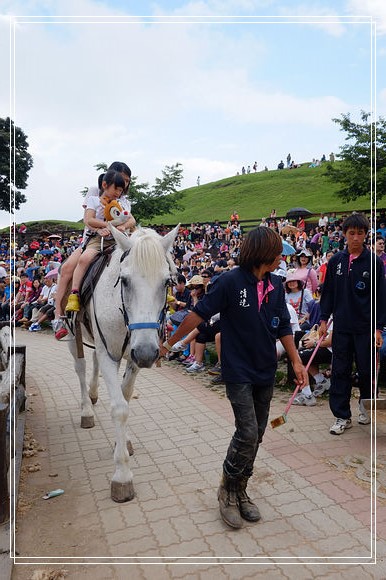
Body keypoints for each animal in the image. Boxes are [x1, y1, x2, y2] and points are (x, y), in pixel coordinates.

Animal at [67, 224, 178, 500]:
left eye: (167, 282)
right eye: (125, 280)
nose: (148, 353)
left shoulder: (134, 355)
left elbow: (126, 396)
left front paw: (122, 442)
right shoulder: (111, 354)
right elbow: (119, 408)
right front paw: (122, 475)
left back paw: (94, 394)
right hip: (73, 334)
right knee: (80, 368)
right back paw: (86, 410)